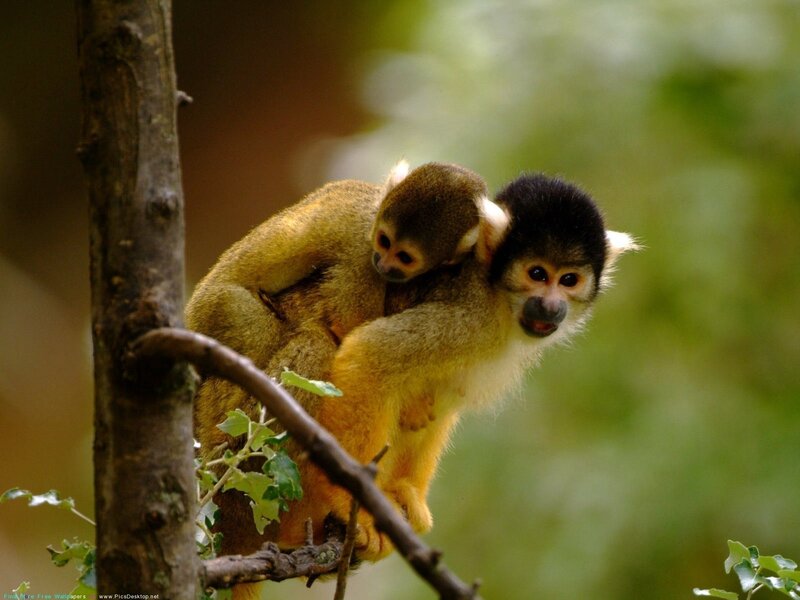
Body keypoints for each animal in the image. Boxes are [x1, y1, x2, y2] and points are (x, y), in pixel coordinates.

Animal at [185, 162, 492, 558]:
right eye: (384, 242)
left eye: (405, 256)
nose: (384, 263)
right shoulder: (360, 253)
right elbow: (349, 328)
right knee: (310, 343)